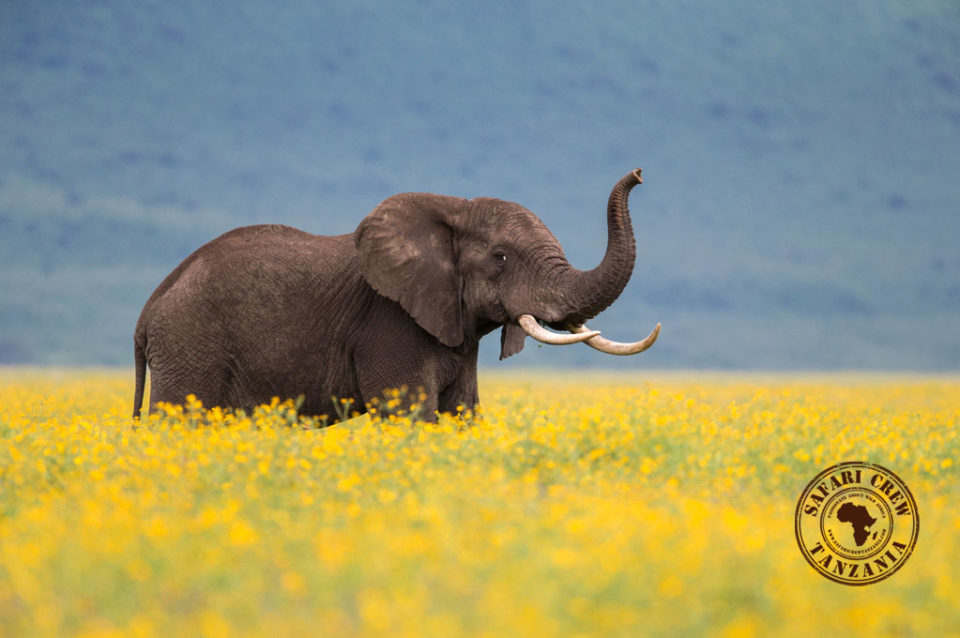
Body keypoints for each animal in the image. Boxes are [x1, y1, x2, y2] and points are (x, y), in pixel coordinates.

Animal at [132, 169, 660, 422]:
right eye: (502, 258)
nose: (639, 174)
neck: (451, 210)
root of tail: (149, 310)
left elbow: (463, 412)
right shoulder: (389, 324)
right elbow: (409, 414)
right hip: (190, 344)